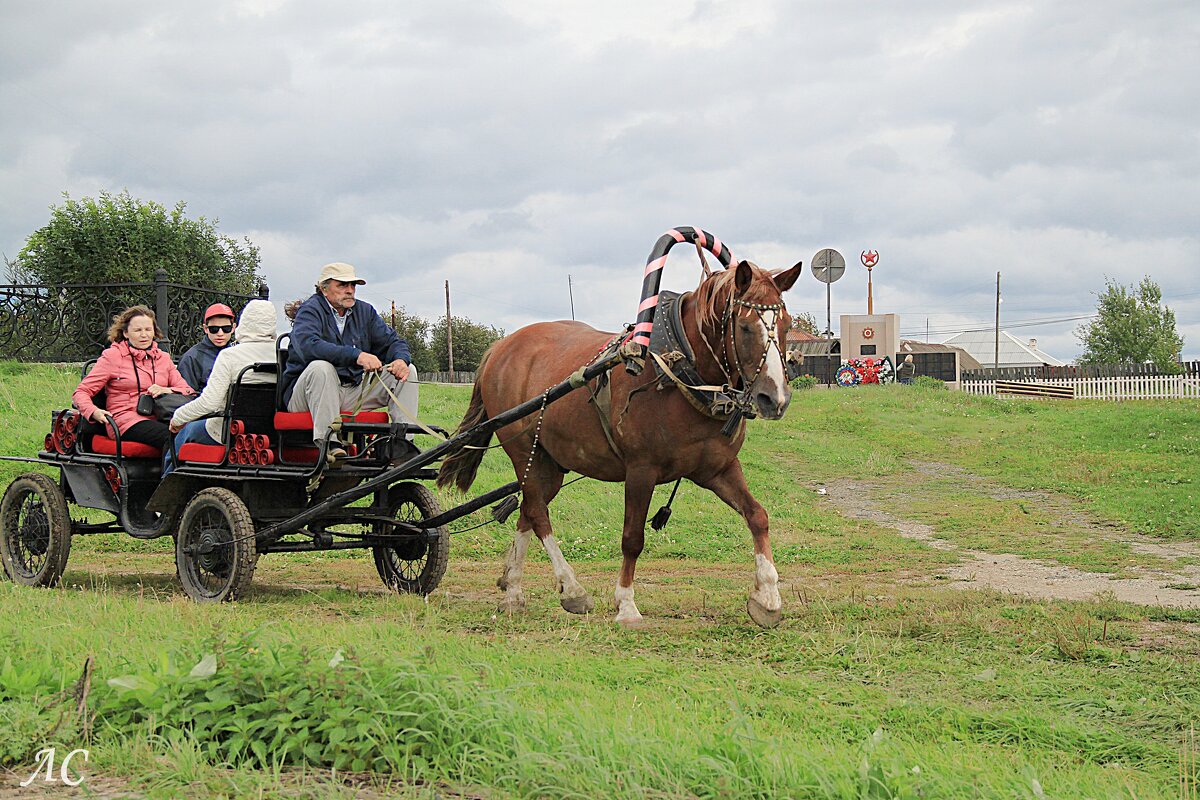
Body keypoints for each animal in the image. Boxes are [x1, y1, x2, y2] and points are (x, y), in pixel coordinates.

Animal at [436, 260, 801, 628]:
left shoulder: (719, 469)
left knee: (528, 510)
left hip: (550, 464)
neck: (680, 368)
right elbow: (632, 538)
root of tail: (501, 347)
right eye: (744, 327)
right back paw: (572, 588)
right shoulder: (641, 471)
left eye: (787, 324)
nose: (776, 399)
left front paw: (768, 597)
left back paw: (513, 590)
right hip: (527, 452)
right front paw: (626, 604)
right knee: (538, 513)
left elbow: (758, 516)